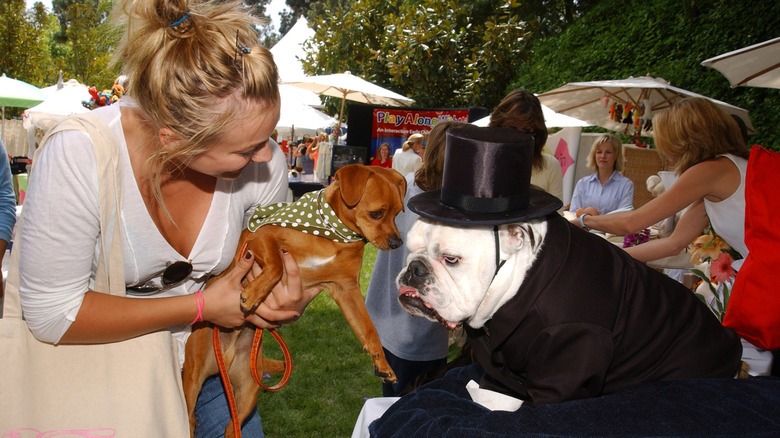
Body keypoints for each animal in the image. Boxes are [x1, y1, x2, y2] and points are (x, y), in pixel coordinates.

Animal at [181, 163, 402, 434]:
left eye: (398, 213)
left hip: (249, 391)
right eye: (376, 213)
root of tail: (228, 356)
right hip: (193, 377)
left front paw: (383, 364)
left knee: (231, 428)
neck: (332, 233)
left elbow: (369, 330)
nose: (398, 242)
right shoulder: (262, 237)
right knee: (190, 417)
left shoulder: (347, 290)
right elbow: (276, 264)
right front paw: (253, 293)